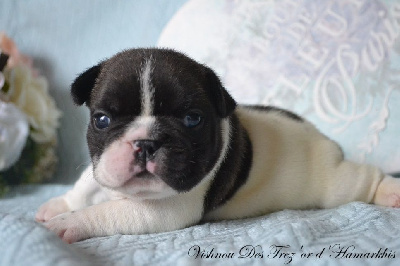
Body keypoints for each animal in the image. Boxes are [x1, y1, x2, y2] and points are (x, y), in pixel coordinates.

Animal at [36, 47, 398, 243]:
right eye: (102, 120)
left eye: (192, 119)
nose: (147, 142)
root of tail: (322, 138)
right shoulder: (102, 165)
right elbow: (85, 186)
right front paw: (59, 206)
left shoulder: (163, 211)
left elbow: (106, 212)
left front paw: (70, 223)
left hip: (333, 184)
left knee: (363, 179)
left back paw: (389, 191)